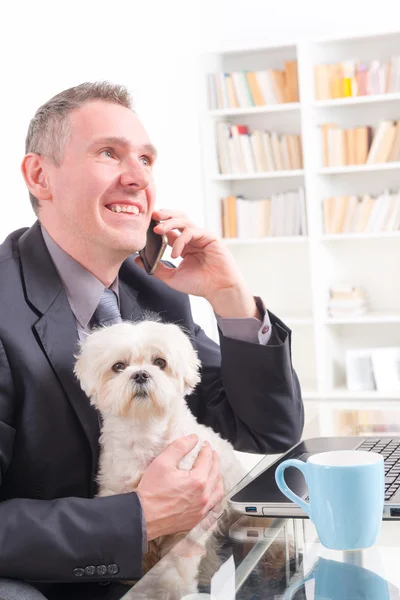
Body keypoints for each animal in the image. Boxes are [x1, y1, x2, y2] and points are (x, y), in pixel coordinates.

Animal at [73, 318, 245, 592]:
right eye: (118, 366)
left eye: (160, 362)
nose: (141, 374)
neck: (145, 431)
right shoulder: (120, 493)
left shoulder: (193, 519)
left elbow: (180, 559)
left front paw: (174, 587)